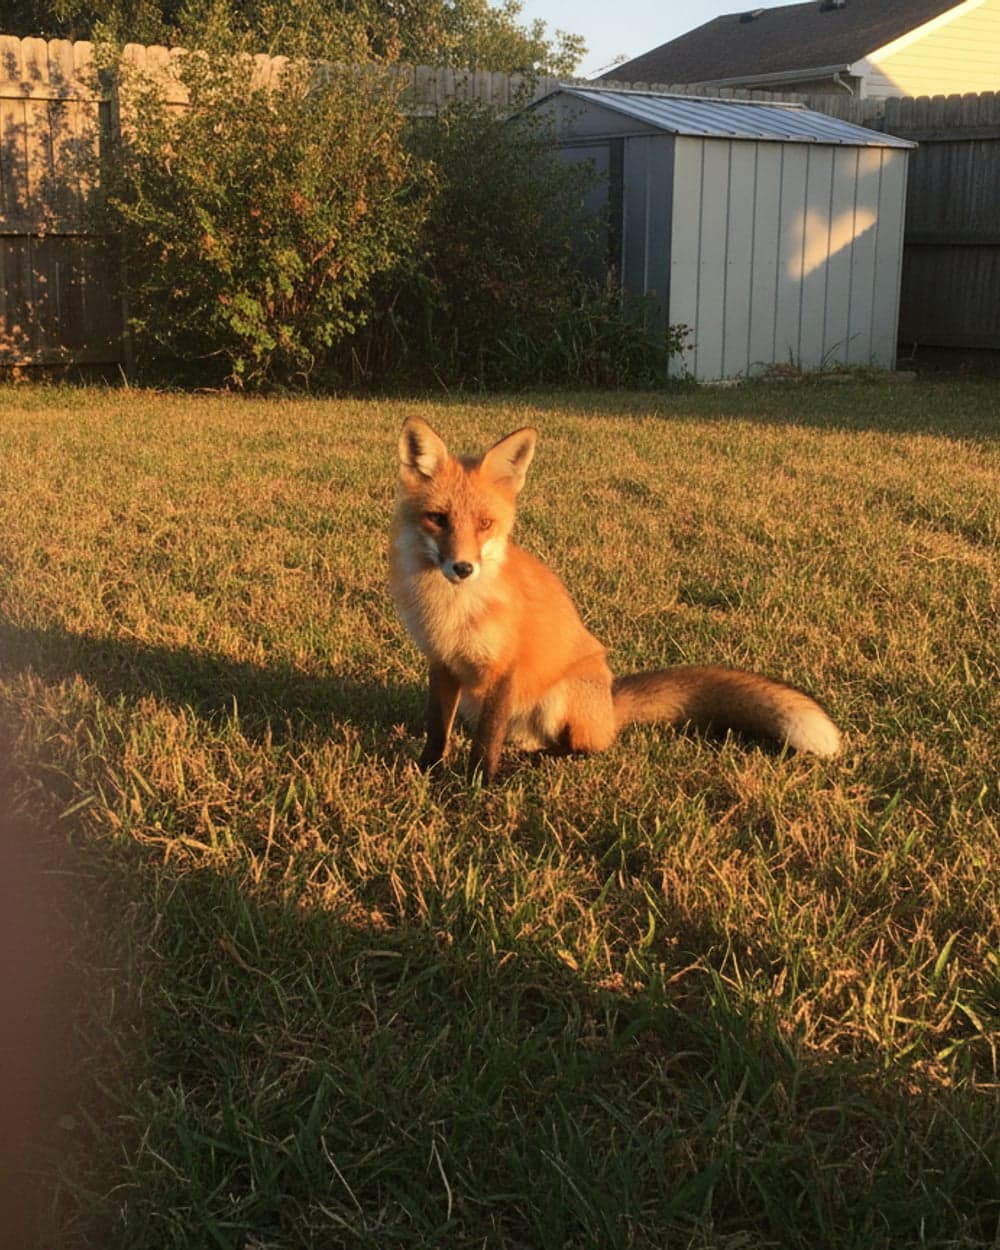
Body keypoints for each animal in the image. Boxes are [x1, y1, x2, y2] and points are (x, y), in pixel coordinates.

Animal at [389, 416, 842, 783]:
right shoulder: (442, 664)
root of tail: (610, 704)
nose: (462, 568)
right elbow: (437, 729)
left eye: (485, 524)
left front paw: (478, 784)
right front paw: (428, 771)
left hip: (559, 696)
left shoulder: (504, 670)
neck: (452, 611)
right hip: (476, 699)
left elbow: (486, 741)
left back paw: (539, 764)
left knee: (584, 749)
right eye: (438, 519)